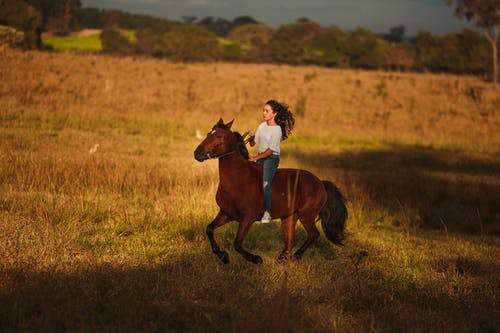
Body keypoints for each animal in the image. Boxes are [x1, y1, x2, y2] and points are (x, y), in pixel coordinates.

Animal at [193, 118, 346, 264]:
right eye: (208, 134)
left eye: (219, 136)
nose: (197, 153)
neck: (238, 180)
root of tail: (320, 183)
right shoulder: (226, 213)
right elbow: (209, 229)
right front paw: (223, 256)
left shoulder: (248, 218)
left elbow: (237, 243)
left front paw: (256, 259)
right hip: (289, 217)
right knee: (290, 241)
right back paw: (281, 260)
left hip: (306, 216)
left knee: (313, 234)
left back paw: (294, 256)